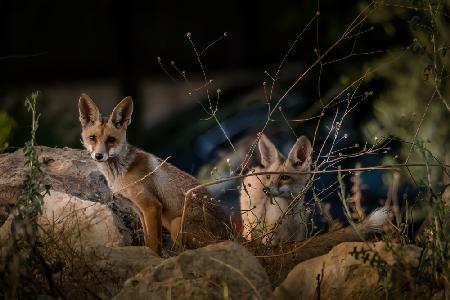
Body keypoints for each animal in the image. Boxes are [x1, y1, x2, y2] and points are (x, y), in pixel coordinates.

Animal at [78, 92, 230, 254]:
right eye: (92, 138)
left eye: (111, 140)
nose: (99, 156)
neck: (120, 173)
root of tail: (231, 232)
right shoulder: (139, 209)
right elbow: (147, 240)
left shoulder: (152, 206)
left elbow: (154, 244)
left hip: (176, 224)